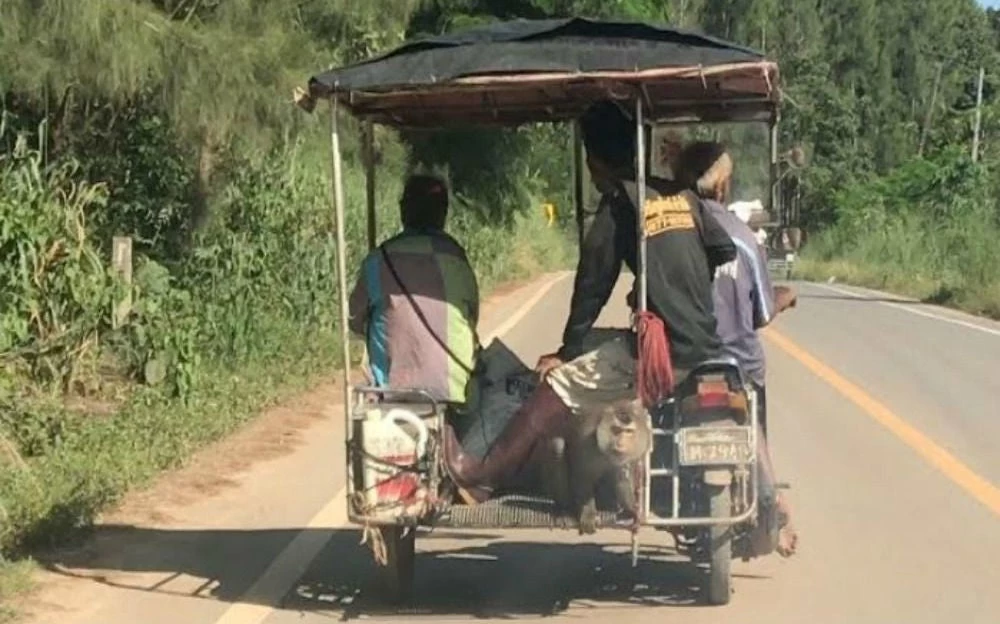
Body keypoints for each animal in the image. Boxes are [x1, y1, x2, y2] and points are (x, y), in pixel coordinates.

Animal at [544, 400, 652, 536]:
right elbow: (583, 476)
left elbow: (622, 478)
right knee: (557, 446)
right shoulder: (585, 439)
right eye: (616, 430)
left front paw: (632, 509)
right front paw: (588, 514)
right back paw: (564, 510)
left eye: (628, 431)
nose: (620, 443)